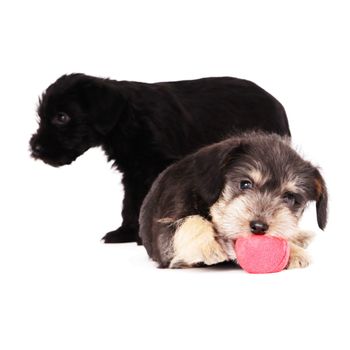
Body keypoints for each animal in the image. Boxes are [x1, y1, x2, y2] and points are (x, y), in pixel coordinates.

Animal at [30, 74, 290, 243]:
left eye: (62, 117)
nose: (35, 148)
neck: (128, 117)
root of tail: (277, 103)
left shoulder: (162, 167)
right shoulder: (133, 173)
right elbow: (130, 203)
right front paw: (126, 232)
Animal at [139, 133, 328, 270]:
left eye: (289, 197)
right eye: (245, 184)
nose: (259, 227)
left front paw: (294, 251)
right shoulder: (164, 234)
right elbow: (191, 222)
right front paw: (209, 245)